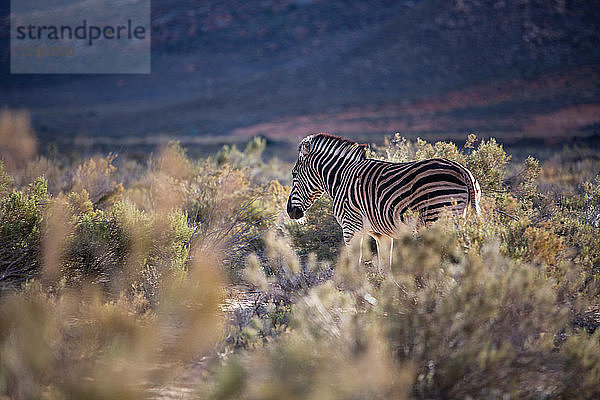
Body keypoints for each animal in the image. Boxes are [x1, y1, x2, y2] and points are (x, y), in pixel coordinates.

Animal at [288, 134, 482, 268]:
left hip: (437, 218)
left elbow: (354, 265)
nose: (290, 211)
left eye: (294, 175)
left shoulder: (351, 228)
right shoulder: (382, 234)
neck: (341, 178)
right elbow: (384, 267)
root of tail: (462, 170)